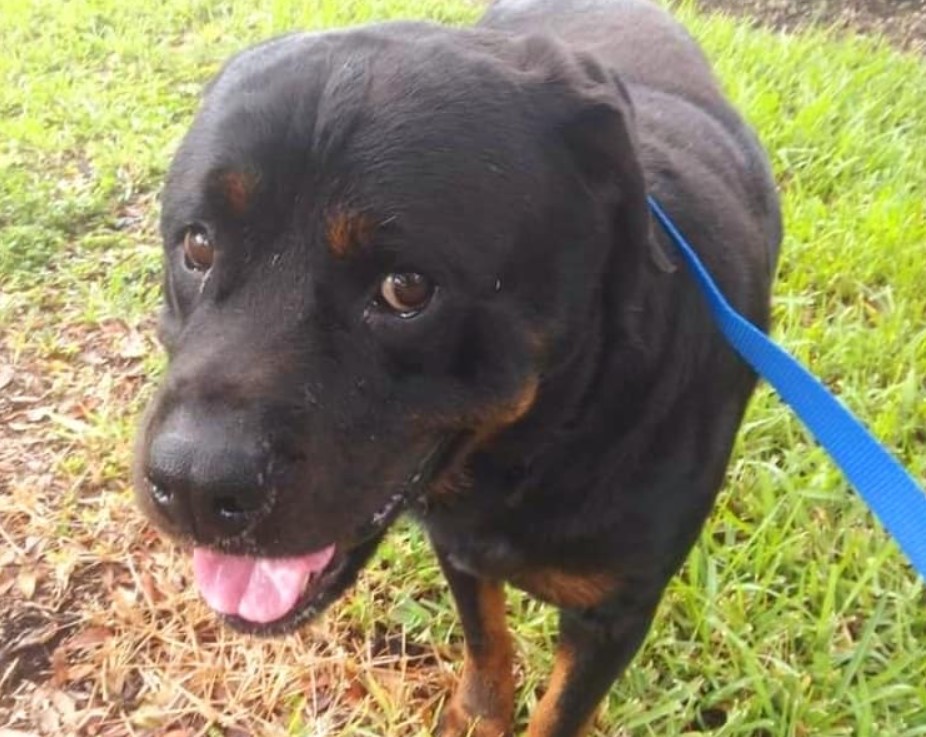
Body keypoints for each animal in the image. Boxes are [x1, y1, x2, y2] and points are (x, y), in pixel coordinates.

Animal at [134, 1, 780, 732]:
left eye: (406, 287)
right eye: (198, 245)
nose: (192, 485)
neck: (540, 442)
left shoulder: (615, 610)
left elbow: (559, 711)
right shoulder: (459, 548)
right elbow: (486, 639)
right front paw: (479, 715)